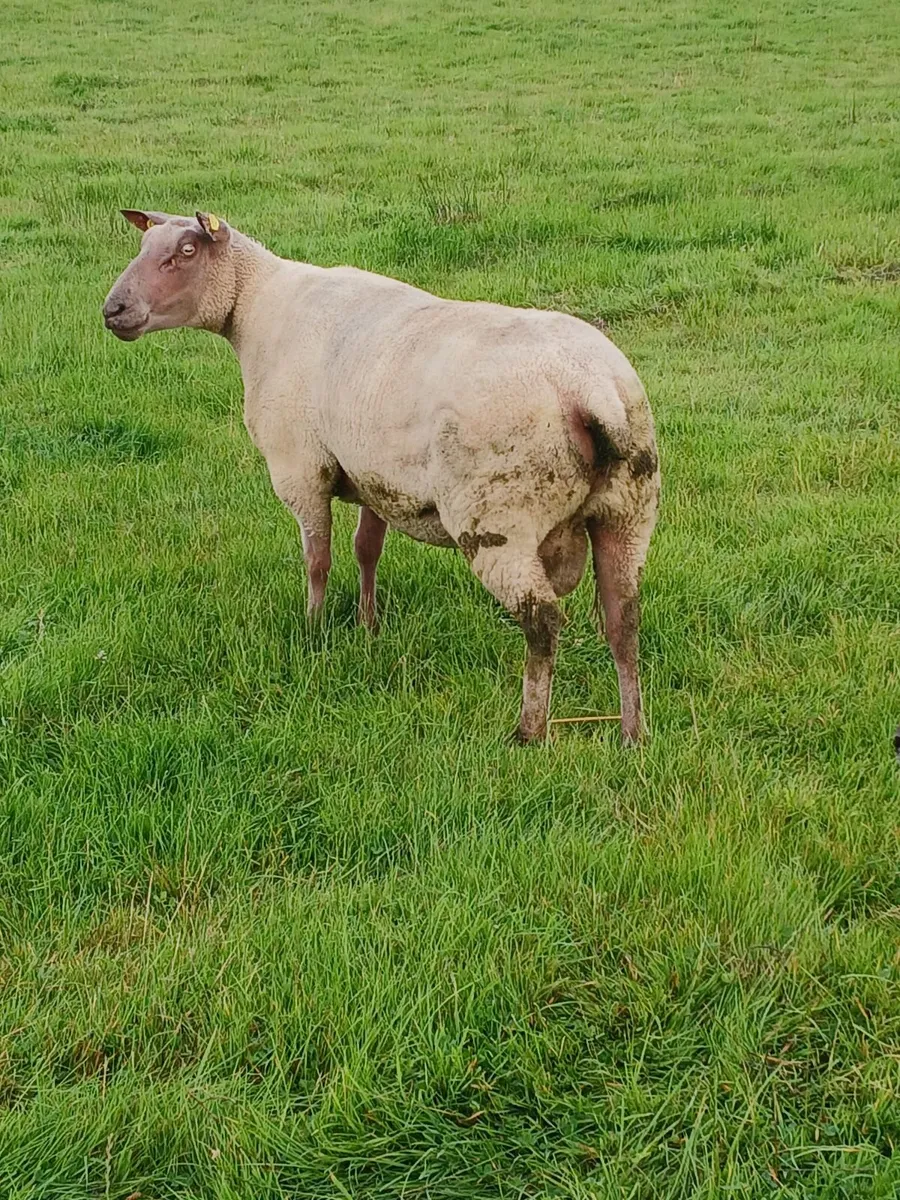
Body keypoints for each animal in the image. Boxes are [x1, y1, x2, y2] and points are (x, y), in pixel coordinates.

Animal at [103, 209, 660, 744]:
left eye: (186, 251)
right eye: (144, 245)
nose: (112, 311)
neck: (258, 308)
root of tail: (592, 391)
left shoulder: (301, 470)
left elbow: (318, 560)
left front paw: (314, 630)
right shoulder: (374, 477)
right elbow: (366, 549)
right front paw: (368, 627)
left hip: (499, 519)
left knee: (542, 622)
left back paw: (530, 731)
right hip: (629, 511)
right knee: (623, 618)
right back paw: (632, 734)